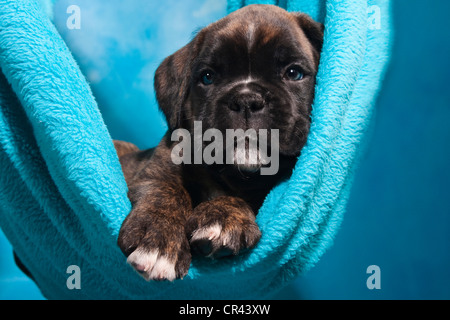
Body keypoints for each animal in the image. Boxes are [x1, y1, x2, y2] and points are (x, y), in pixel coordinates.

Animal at [114, 4, 322, 280]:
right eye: (208, 77)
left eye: (294, 73)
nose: (246, 100)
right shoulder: (157, 165)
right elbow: (166, 189)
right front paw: (160, 240)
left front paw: (224, 217)